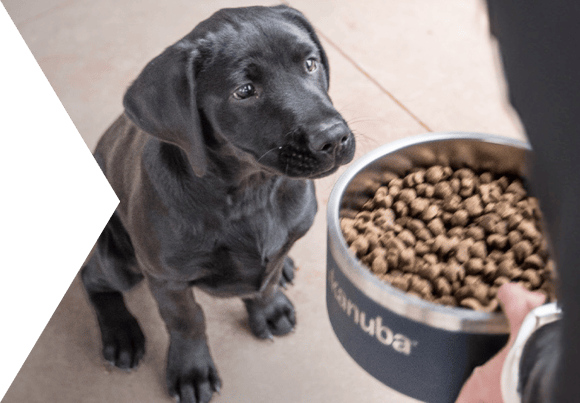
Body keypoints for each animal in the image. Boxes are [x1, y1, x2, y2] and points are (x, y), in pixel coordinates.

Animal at [80, 4, 354, 402]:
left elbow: (266, 282)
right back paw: (122, 335)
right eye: (245, 91)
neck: (251, 193)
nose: (334, 138)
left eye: (310, 63)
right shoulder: (167, 279)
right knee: (93, 279)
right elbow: (187, 320)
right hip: (120, 260)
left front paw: (269, 310)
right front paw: (192, 371)